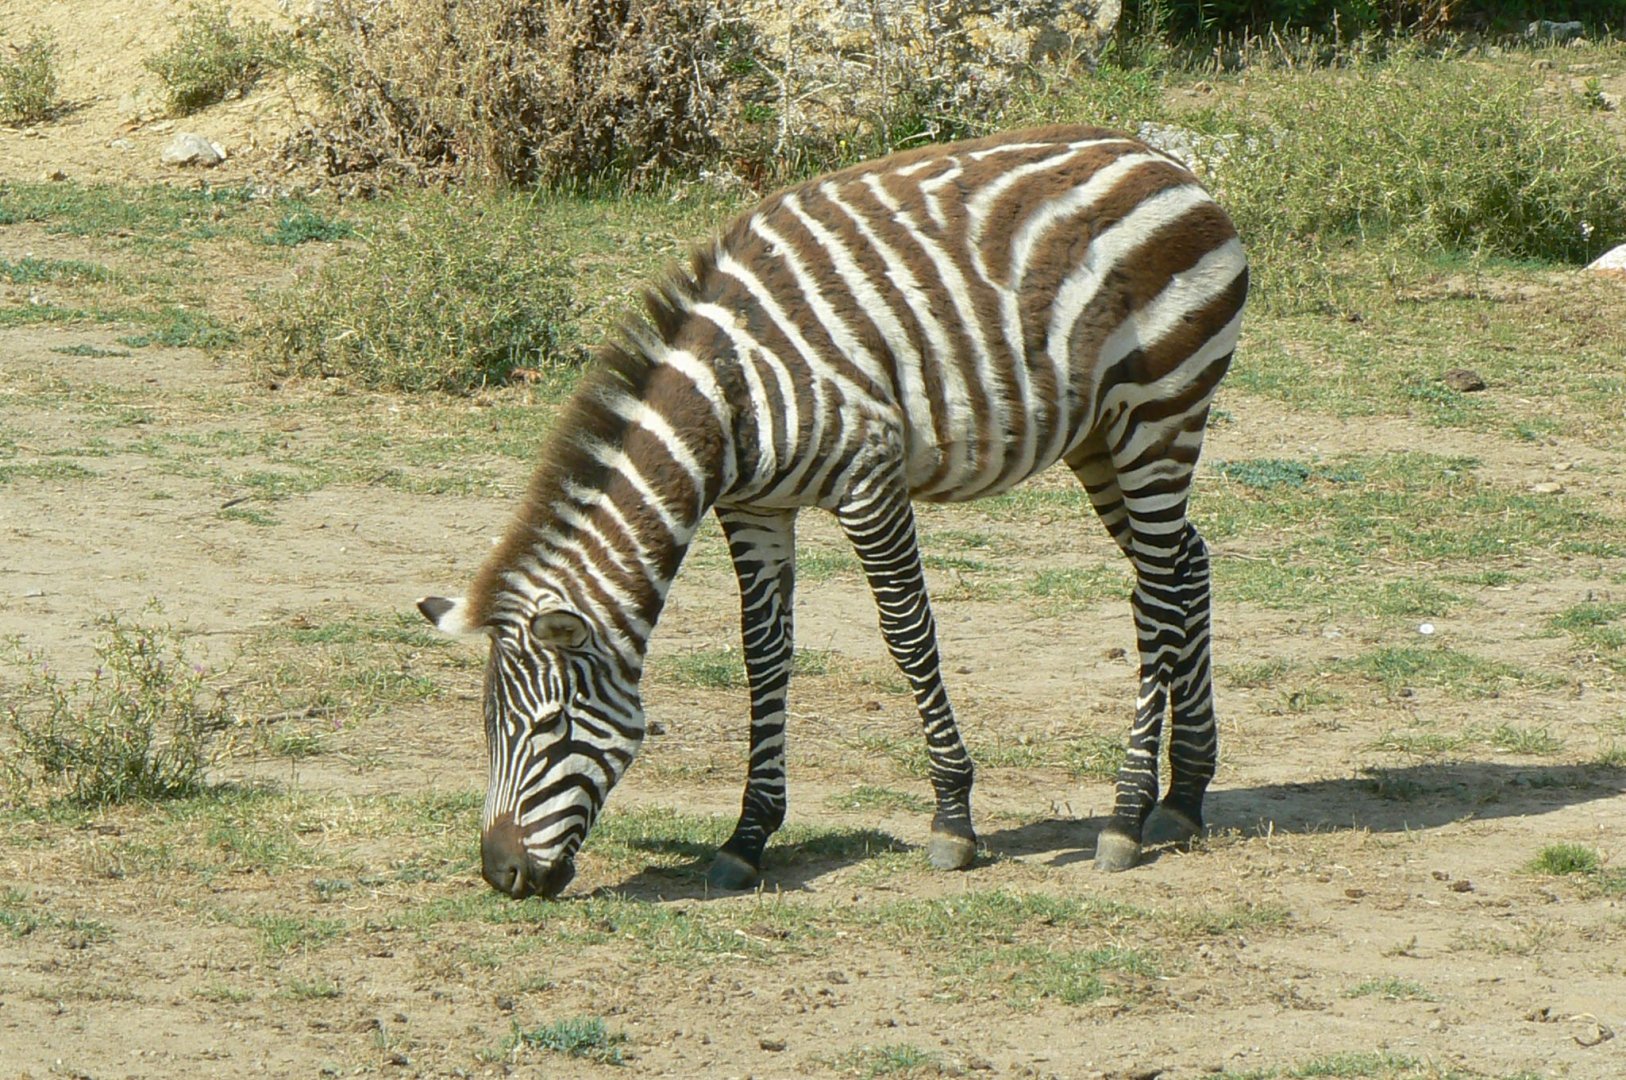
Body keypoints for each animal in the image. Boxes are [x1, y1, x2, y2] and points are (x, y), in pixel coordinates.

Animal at [419, 125, 1248, 899]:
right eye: (485, 729)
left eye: (550, 728)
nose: (501, 873)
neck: (729, 398)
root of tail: (1163, 161)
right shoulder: (754, 509)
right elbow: (764, 655)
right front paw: (748, 836)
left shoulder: (869, 484)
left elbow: (909, 636)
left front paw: (953, 818)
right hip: (1100, 436)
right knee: (1185, 565)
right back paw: (1185, 794)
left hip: (1160, 414)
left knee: (1158, 595)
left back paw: (1127, 815)